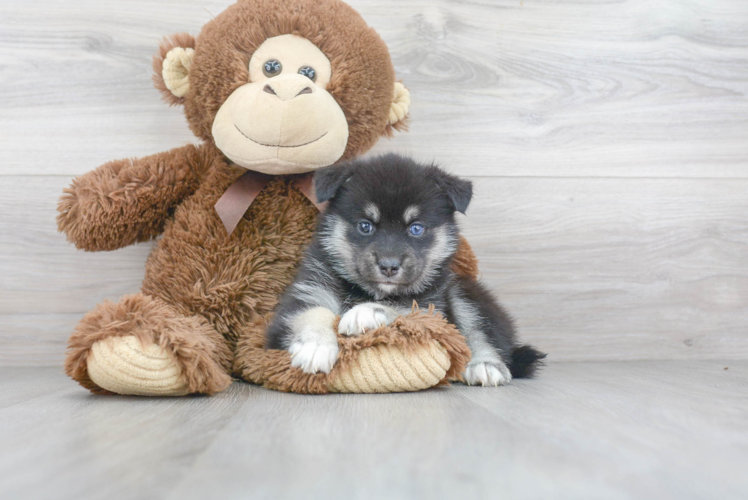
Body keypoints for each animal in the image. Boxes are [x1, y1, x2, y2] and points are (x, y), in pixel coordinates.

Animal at [266, 154, 548, 384]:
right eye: (365, 226)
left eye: (416, 228)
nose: (389, 266)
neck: (366, 291)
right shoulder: (304, 295)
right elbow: (313, 312)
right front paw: (316, 345)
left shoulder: (432, 309)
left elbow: (402, 309)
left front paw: (366, 312)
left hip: (463, 292)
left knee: (483, 333)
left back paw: (485, 366)